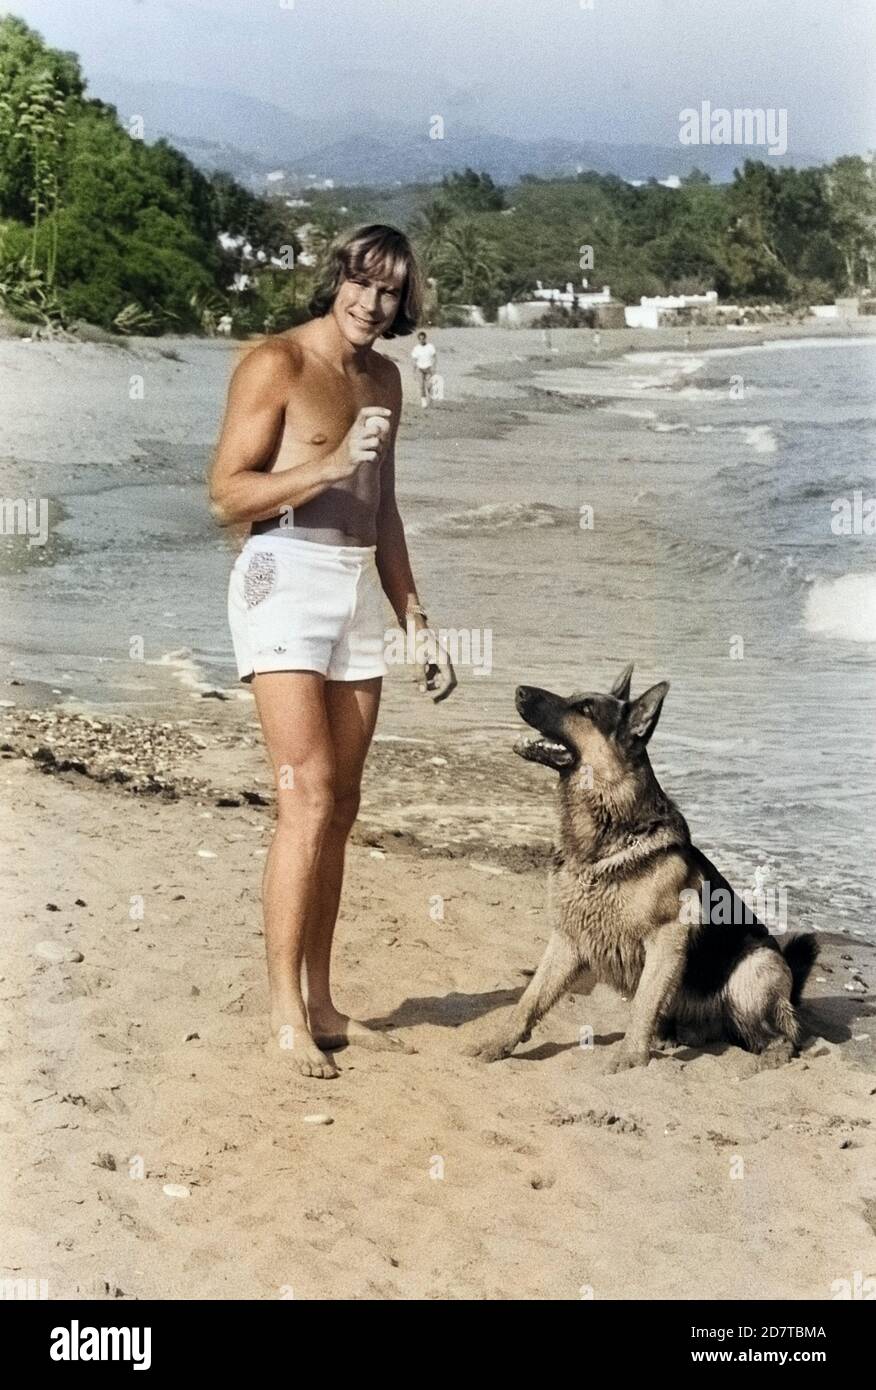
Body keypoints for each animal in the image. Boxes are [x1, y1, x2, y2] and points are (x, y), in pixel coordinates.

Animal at [469, 667, 823, 1067]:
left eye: (585, 709)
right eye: (573, 697)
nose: (518, 690)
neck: (605, 837)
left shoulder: (666, 939)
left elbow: (642, 1004)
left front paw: (630, 1058)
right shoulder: (567, 939)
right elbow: (529, 999)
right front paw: (500, 1043)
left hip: (752, 969)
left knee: (785, 1037)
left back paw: (768, 1057)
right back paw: (669, 1036)